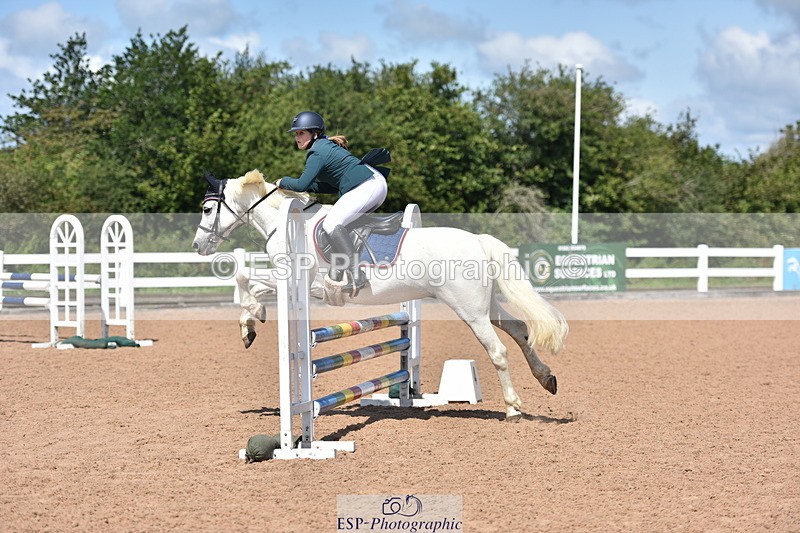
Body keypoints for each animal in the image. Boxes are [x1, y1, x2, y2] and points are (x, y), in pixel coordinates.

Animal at [192, 169, 569, 420]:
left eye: (208, 210)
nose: (198, 246)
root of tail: (477, 240)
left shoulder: (302, 282)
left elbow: (245, 277)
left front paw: (251, 321)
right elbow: (250, 282)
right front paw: (251, 324)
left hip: (470, 310)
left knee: (498, 350)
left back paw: (513, 407)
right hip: (485, 306)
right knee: (520, 329)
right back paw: (546, 378)